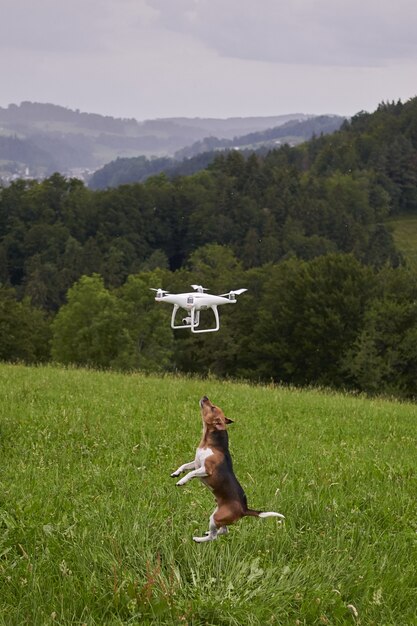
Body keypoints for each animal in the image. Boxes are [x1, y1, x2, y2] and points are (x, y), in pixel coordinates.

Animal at [171, 398, 284, 540]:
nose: (205, 397)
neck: (210, 442)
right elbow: (185, 466)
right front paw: (176, 473)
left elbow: (191, 473)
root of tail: (244, 510)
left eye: (212, 407)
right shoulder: (196, 463)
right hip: (218, 515)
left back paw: (198, 539)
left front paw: (181, 481)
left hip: (216, 517)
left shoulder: (206, 469)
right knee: (224, 531)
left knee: (214, 536)